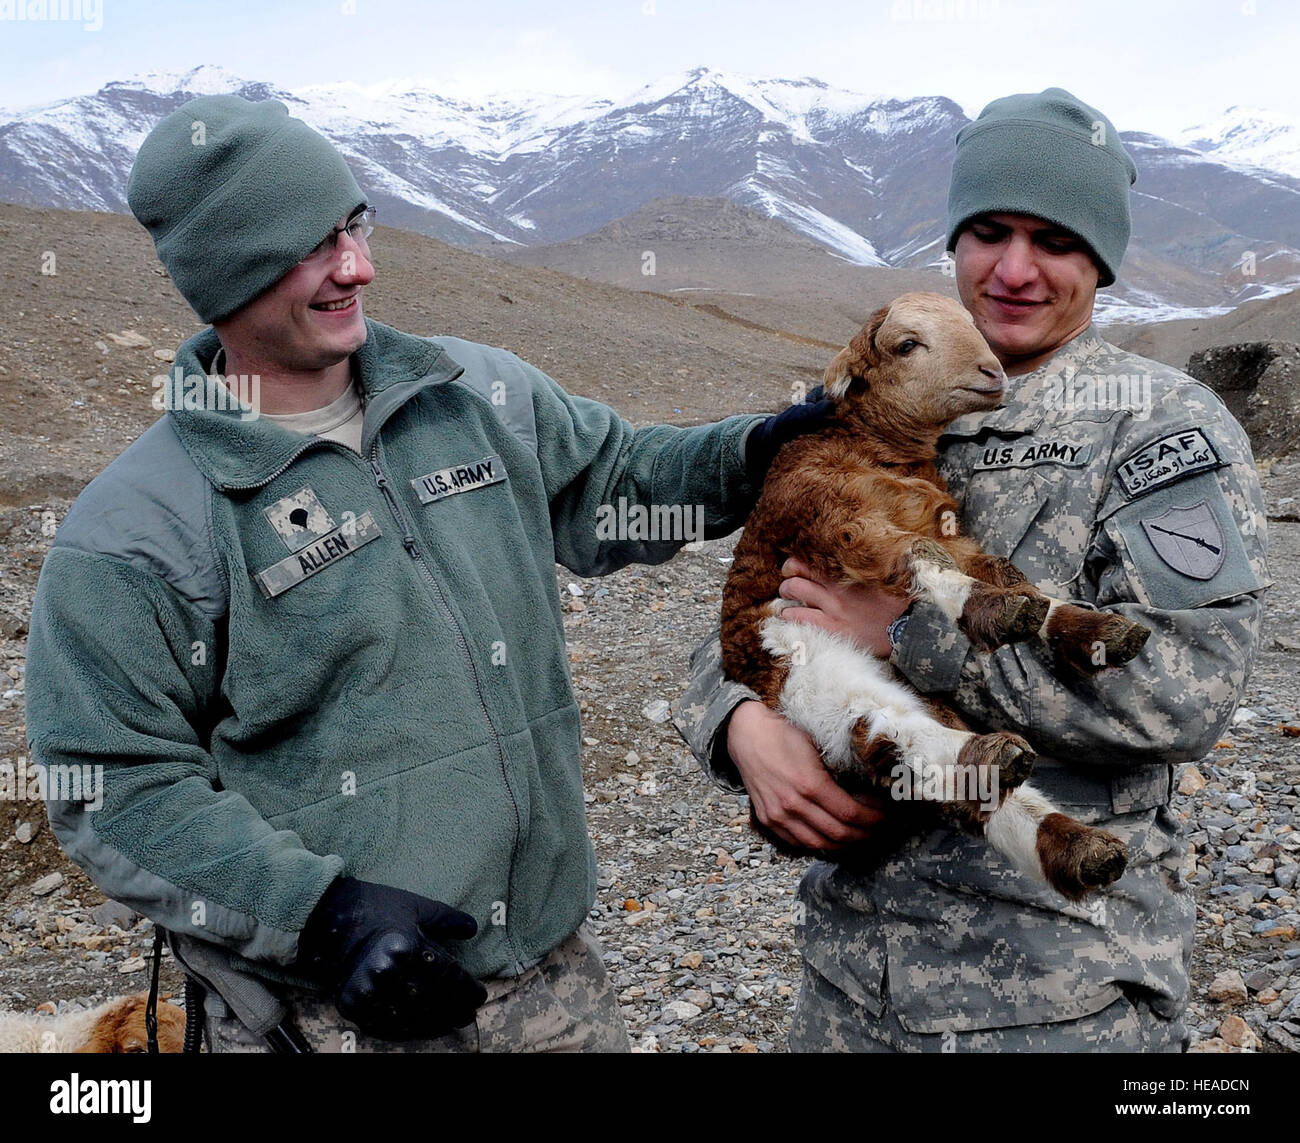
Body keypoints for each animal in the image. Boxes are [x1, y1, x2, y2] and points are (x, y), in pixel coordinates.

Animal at [717, 292, 1154, 905]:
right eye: (907, 345)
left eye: (973, 324)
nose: (992, 372)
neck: (878, 449)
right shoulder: (832, 516)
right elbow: (924, 558)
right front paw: (995, 612)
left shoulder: (950, 533)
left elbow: (1010, 575)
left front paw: (1090, 631)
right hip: (803, 667)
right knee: (884, 734)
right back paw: (990, 758)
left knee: (970, 798)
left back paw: (1078, 849)